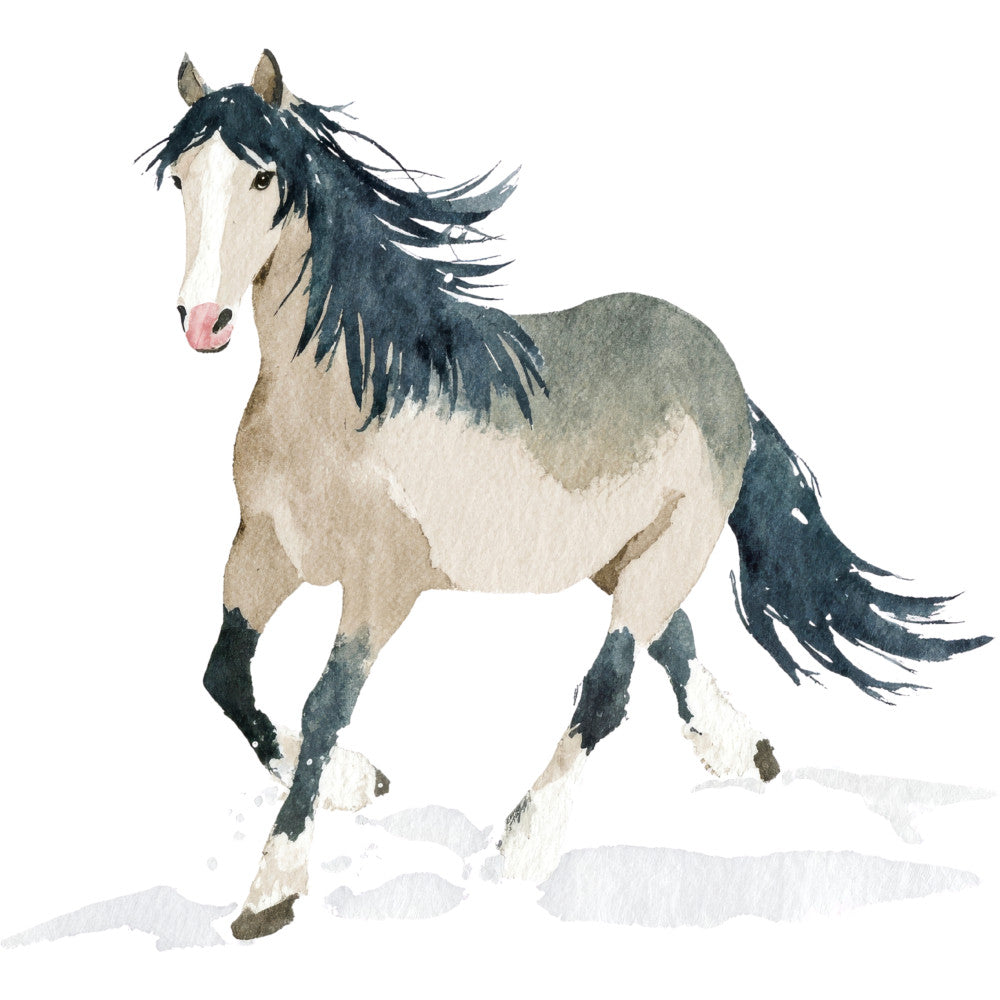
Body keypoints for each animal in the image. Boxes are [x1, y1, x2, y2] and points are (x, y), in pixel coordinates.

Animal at [144, 50, 990, 940]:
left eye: (262, 175)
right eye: (181, 178)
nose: (202, 319)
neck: (343, 401)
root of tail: (724, 374)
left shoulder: (382, 585)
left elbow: (321, 706)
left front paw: (271, 892)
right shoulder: (265, 552)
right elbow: (225, 676)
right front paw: (354, 781)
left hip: (671, 546)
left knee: (610, 684)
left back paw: (526, 843)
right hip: (617, 556)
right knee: (672, 639)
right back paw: (742, 750)